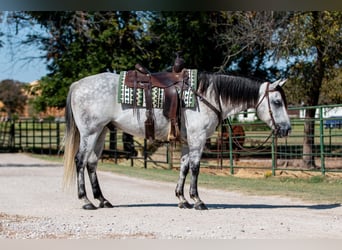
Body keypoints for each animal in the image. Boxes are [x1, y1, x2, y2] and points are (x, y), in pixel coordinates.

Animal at [63, 72, 292, 211]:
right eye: (277, 102)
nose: (287, 129)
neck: (206, 97)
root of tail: (77, 84)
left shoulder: (187, 142)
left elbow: (183, 167)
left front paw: (182, 199)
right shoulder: (198, 139)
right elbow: (196, 168)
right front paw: (197, 200)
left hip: (100, 132)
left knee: (91, 163)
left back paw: (102, 200)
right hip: (90, 133)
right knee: (80, 161)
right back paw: (86, 201)